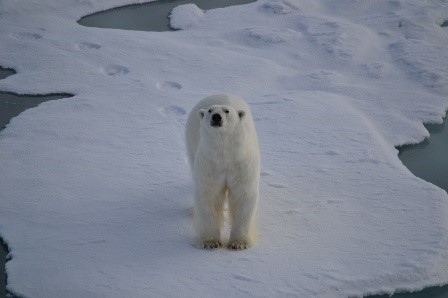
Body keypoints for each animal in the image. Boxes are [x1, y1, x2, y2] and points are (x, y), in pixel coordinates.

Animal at [186, 94, 260, 250]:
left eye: (227, 111)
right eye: (210, 110)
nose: (216, 117)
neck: (225, 154)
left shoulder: (241, 163)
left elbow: (243, 194)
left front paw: (238, 243)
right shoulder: (209, 162)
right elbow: (209, 194)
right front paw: (211, 242)